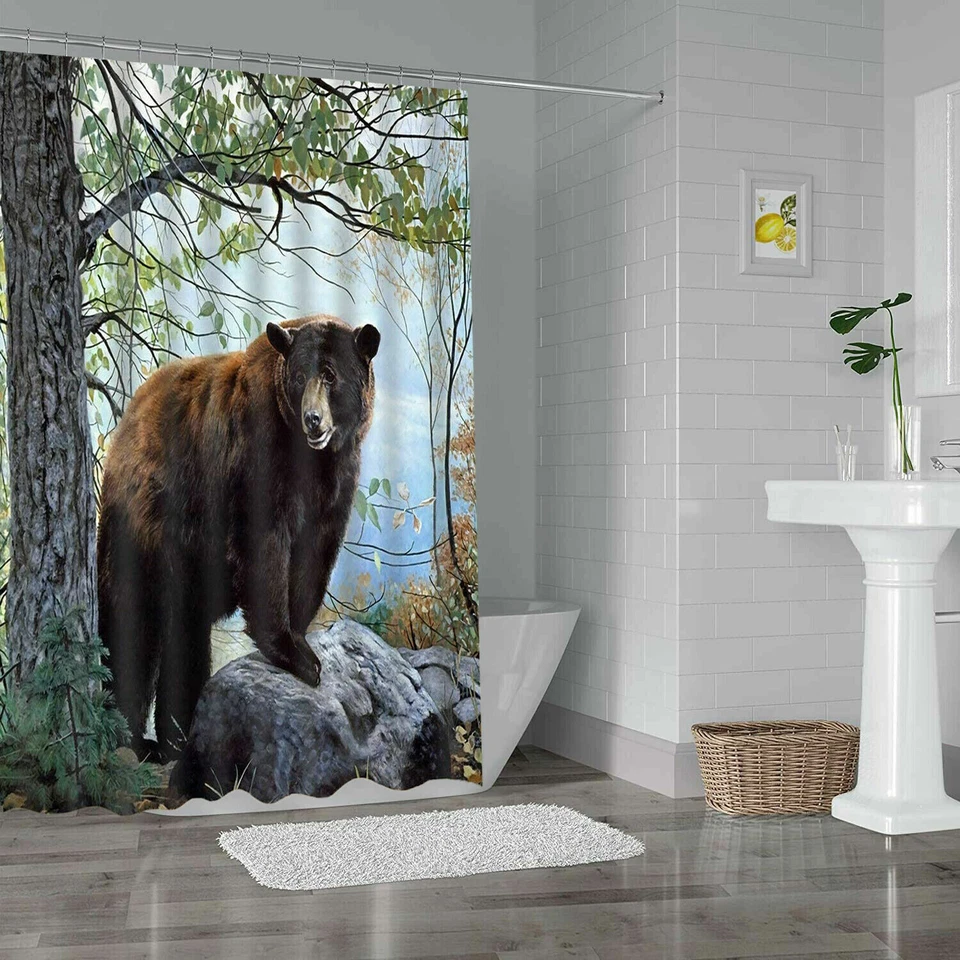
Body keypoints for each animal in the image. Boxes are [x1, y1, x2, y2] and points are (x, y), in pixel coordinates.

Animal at [97, 314, 380, 761]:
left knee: (184, 634)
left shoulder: (336, 481)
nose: (313, 419)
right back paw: (134, 737)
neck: (309, 459)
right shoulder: (255, 455)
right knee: (132, 622)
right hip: (145, 524)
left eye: (331, 375)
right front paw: (295, 654)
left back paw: (177, 736)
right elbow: (264, 545)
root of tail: (127, 421)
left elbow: (314, 554)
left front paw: (300, 635)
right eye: (298, 376)